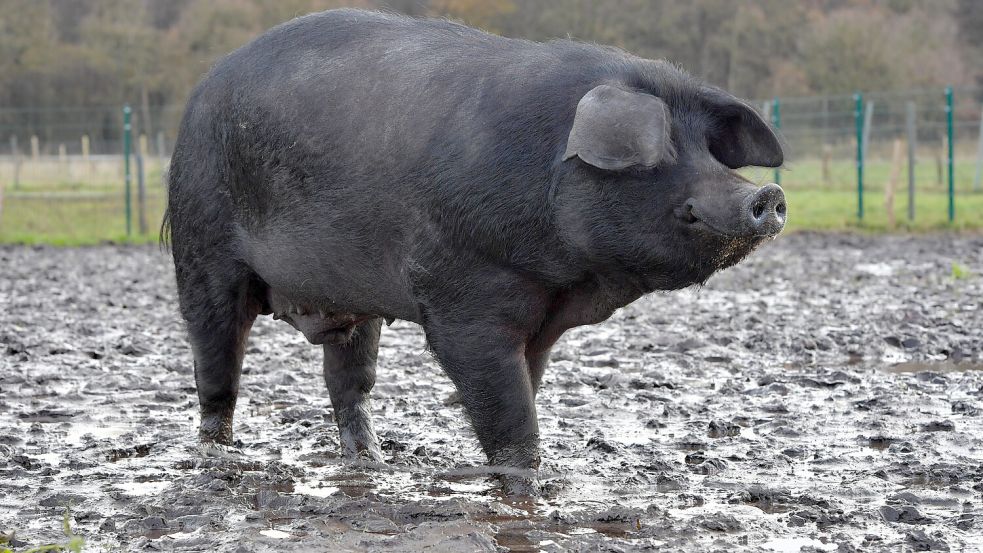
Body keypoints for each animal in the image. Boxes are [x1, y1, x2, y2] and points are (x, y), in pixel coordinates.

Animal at [165, 8, 788, 494]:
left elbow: (527, 387)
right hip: (200, 245)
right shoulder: (462, 292)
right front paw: (525, 482)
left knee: (349, 382)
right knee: (216, 367)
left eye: (709, 150)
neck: (572, 280)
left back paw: (371, 462)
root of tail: (197, 97)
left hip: (352, 300)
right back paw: (216, 456)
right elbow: (505, 409)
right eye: (665, 151)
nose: (767, 193)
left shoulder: (543, 320)